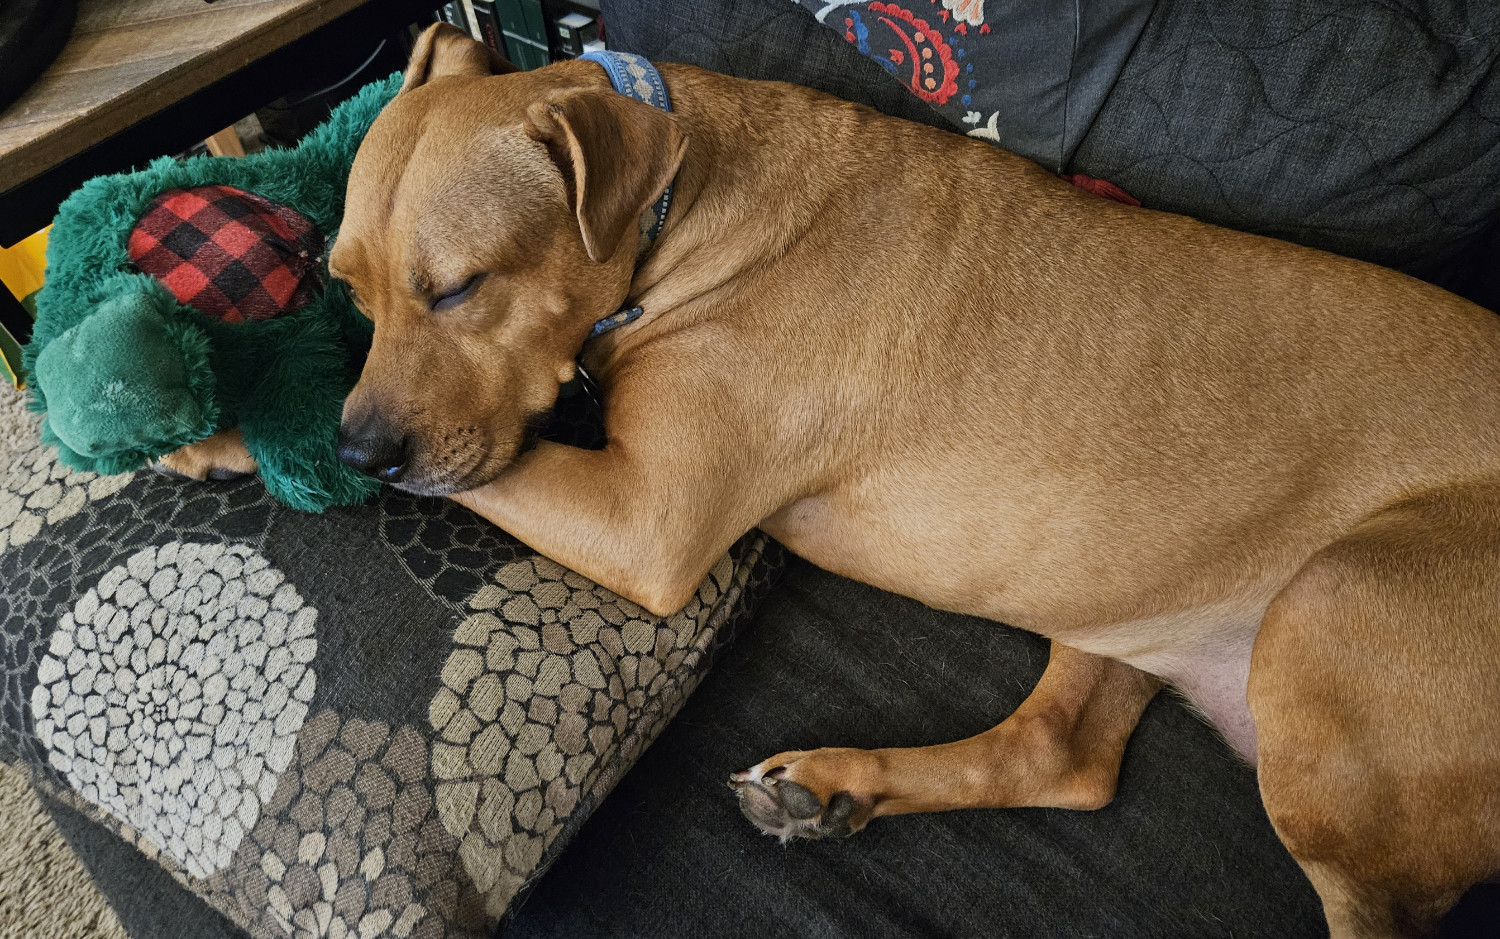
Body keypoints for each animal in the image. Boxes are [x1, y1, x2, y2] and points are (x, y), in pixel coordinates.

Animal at [181, 25, 1494, 930]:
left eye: (460, 287)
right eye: (347, 285)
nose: (362, 453)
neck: (673, 201)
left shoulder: (646, 522)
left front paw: (245, 426)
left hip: (1340, 596)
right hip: (1129, 597)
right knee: (1061, 759)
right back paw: (837, 790)